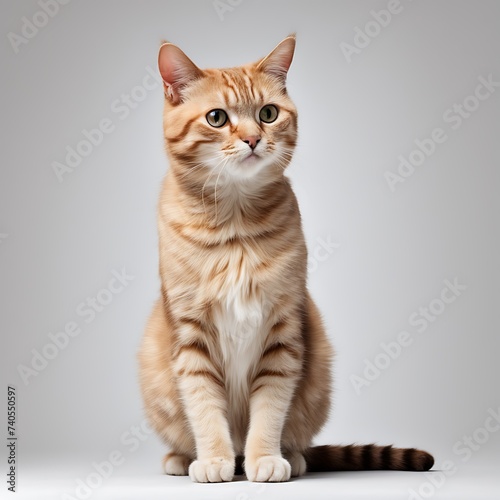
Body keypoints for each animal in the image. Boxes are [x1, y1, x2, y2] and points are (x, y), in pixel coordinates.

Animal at [138, 34, 434, 480]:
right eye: (216, 118)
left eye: (268, 113)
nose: (252, 139)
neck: (234, 226)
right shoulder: (190, 336)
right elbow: (204, 406)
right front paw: (214, 460)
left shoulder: (283, 331)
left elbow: (270, 408)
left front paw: (263, 458)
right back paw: (184, 459)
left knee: (296, 436)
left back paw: (290, 458)